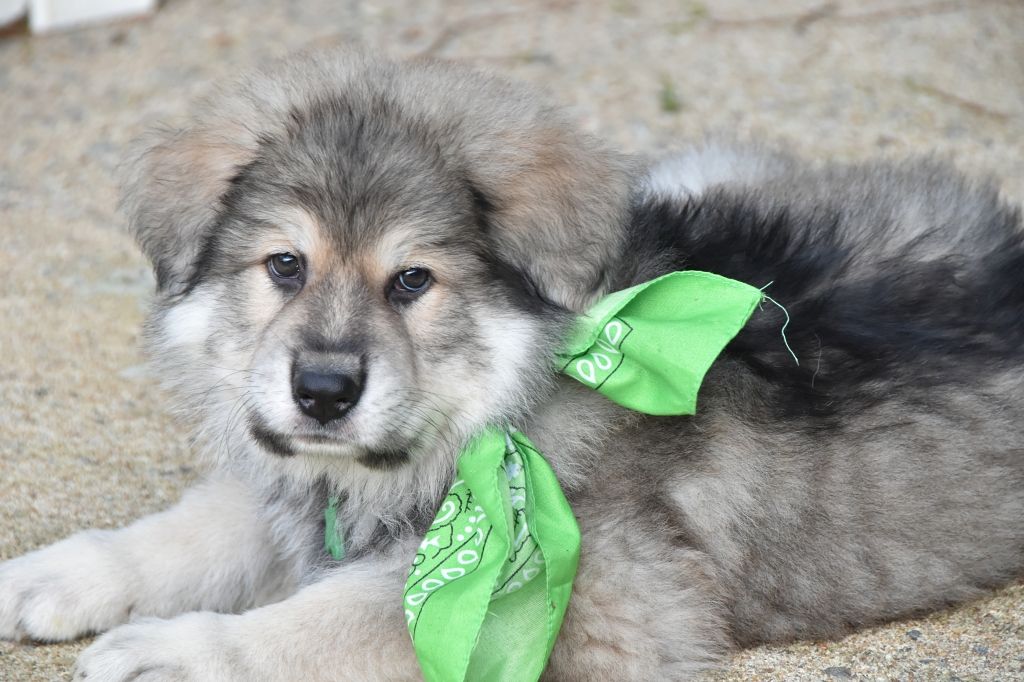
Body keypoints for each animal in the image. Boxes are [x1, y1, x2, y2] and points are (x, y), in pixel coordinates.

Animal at [1, 49, 1022, 681]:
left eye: (413, 280)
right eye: (285, 265)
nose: (322, 392)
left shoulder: (580, 602)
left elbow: (337, 620)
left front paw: (187, 652)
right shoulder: (307, 482)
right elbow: (194, 529)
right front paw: (55, 574)